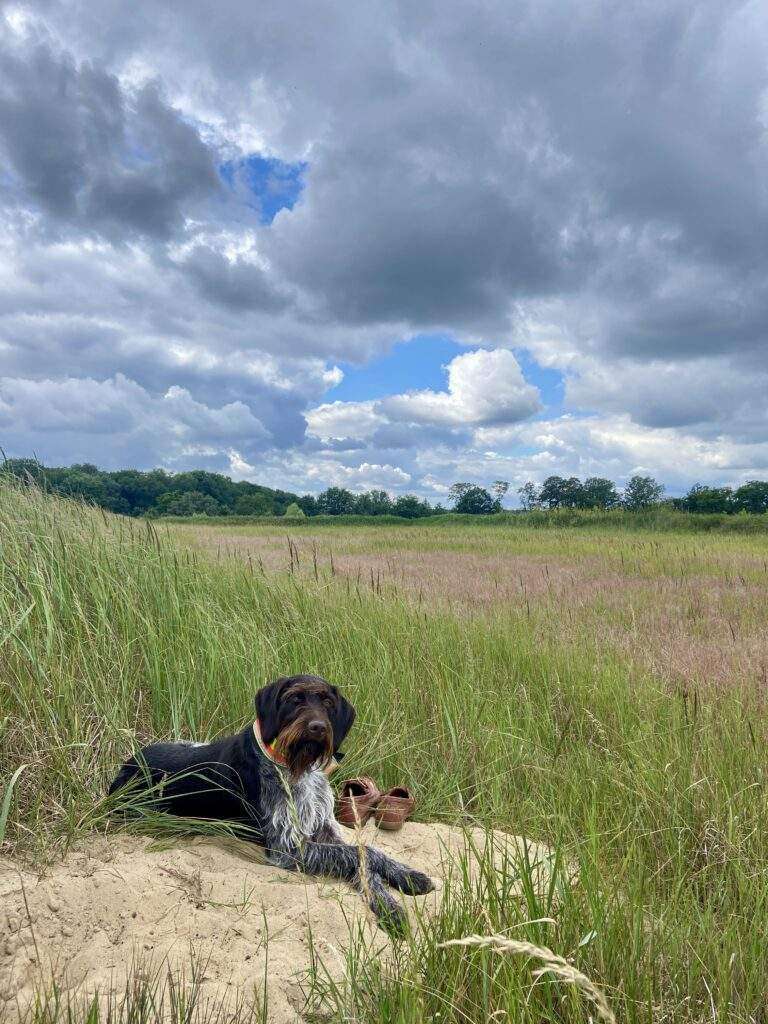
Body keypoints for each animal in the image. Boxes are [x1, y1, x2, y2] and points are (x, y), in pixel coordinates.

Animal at [108, 675, 436, 933]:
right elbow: (361, 852)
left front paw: (402, 884)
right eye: (294, 699)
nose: (317, 727)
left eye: (328, 703)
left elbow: (364, 858)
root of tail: (125, 766)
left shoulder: (324, 829)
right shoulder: (287, 848)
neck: (295, 765)